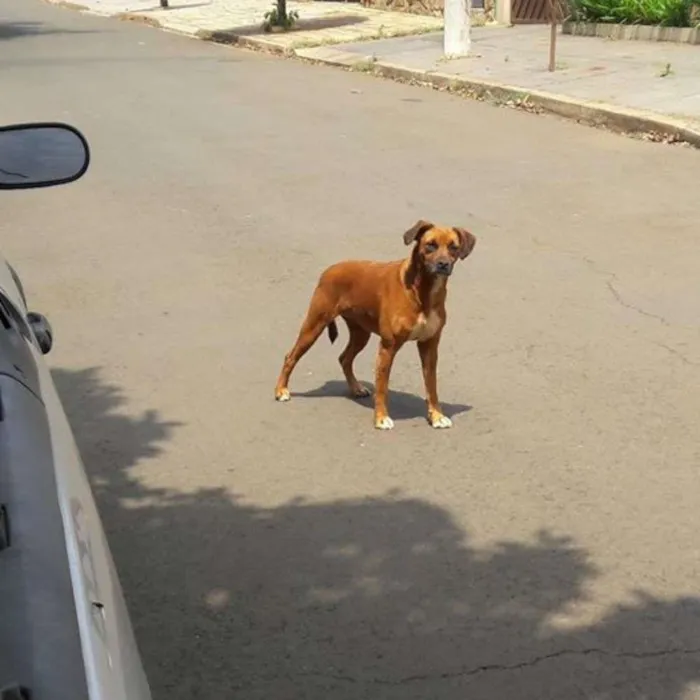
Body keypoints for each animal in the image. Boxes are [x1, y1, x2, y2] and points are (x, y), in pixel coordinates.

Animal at [274, 220, 476, 426]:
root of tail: (329, 270)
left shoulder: (429, 345)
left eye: (453, 247)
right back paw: (281, 390)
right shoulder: (388, 346)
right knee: (290, 357)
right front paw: (381, 418)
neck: (421, 289)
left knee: (345, 358)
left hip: (361, 333)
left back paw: (356, 388)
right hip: (314, 325)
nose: (443, 264)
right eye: (430, 245)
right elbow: (382, 387)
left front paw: (436, 416)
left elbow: (431, 385)